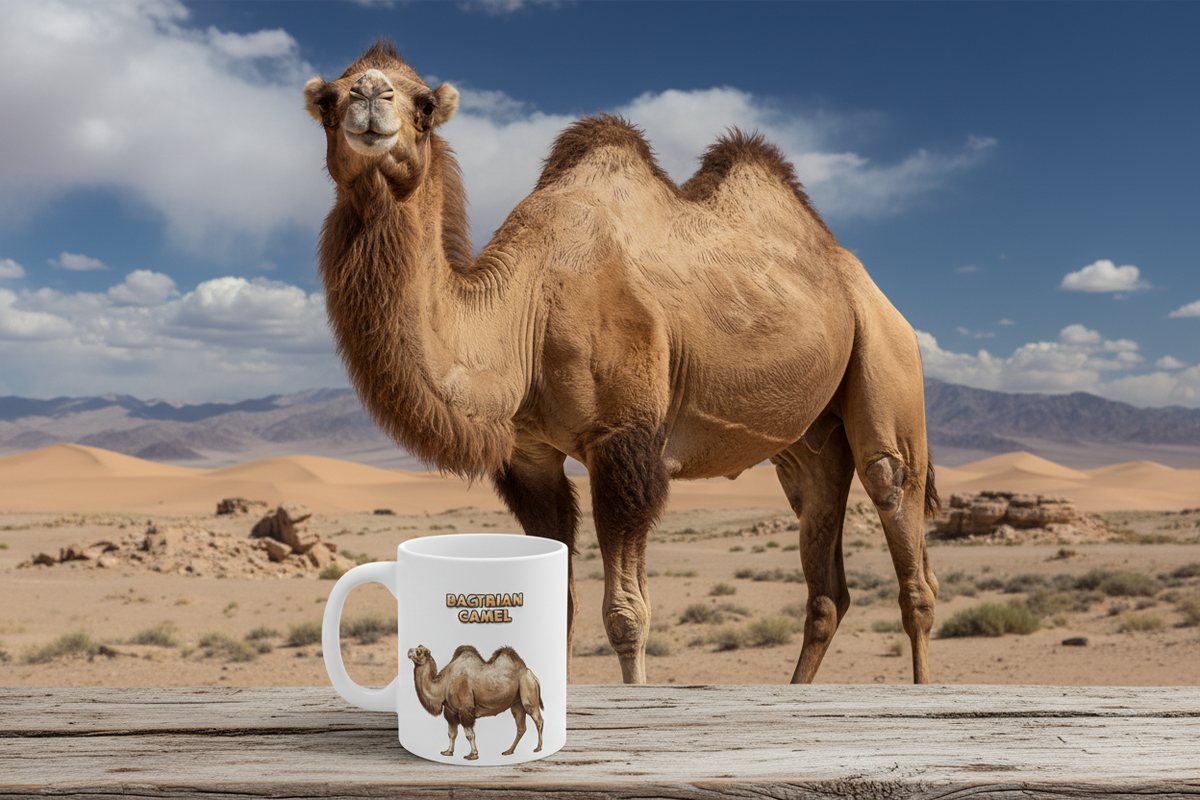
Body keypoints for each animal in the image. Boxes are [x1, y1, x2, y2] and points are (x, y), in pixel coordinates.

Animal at [306, 41, 940, 686]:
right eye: (327, 101)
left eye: (426, 106)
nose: (368, 96)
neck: (526, 309)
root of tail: (857, 275)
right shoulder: (529, 459)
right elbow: (557, 603)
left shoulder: (624, 443)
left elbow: (626, 616)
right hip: (808, 440)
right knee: (825, 578)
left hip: (888, 357)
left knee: (902, 529)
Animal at [407, 644, 544, 760]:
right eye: (418, 647)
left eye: (420, 651)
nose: (409, 651)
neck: (444, 684)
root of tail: (532, 674)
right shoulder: (451, 711)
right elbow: (452, 733)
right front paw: (448, 752)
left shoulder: (465, 708)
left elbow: (469, 734)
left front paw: (472, 755)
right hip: (517, 703)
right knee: (521, 727)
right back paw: (508, 751)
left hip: (527, 688)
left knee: (538, 719)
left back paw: (538, 748)